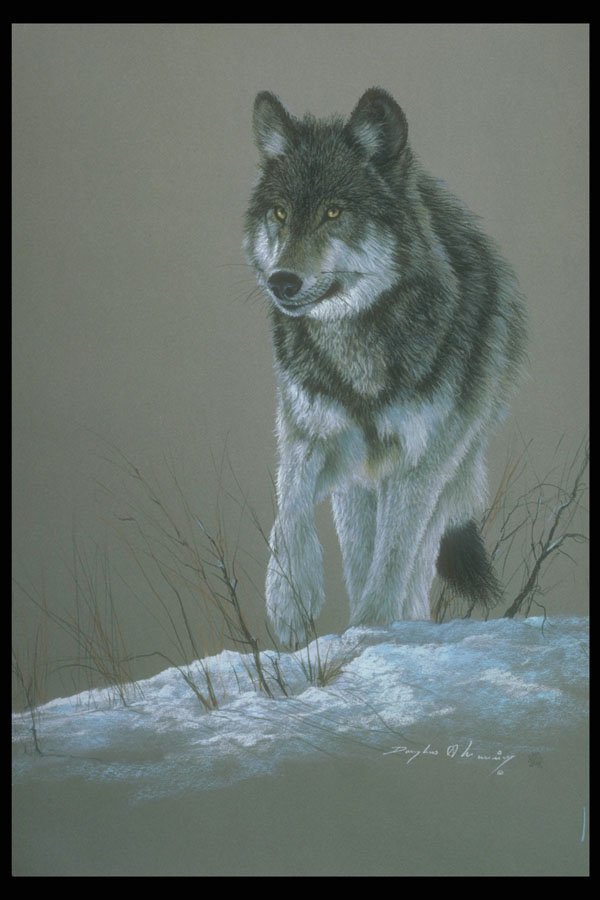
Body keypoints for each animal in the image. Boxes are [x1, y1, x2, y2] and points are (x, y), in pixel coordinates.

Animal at [244, 87, 527, 645]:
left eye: (334, 212)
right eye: (281, 213)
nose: (282, 282)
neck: (358, 354)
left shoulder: (421, 460)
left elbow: (396, 555)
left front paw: (374, 627)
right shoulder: (312, 435)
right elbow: (289, 510)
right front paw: (289, 605)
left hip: (447, 467)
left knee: (415, 559)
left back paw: (404, 620)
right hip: (358, 487)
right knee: (357, 548)